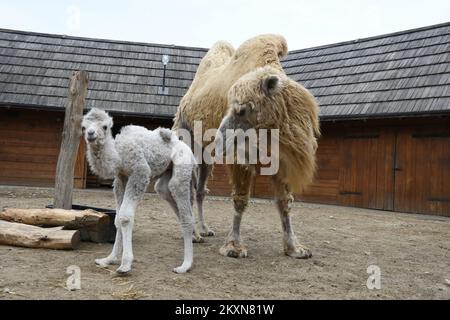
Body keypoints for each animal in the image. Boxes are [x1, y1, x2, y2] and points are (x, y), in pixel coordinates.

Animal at [82, 109, 197, 274]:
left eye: (104, 126)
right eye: (84, 127)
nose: (90, 134)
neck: (119, 154)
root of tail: (187, 148)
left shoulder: (140, 172)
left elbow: (124, 217)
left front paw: (125, 264)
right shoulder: (120, 178)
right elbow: (117, 219)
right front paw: (109, 259)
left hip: (182, 167)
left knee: (184, 208)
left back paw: (185, 265)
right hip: (166, 176)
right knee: (168, 194)